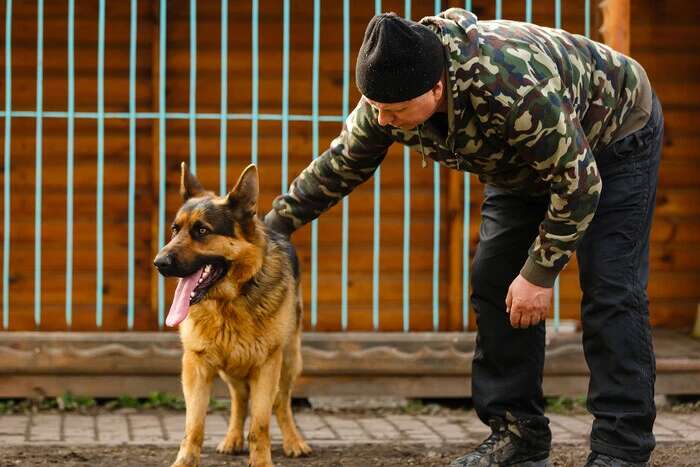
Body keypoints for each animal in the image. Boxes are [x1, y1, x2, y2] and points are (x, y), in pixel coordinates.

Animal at [154, 163, 310, 466]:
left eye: (202, 230)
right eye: (174, 229)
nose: (159, 263)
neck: (227, 304)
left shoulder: (266, 366)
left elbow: (260, 425)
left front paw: (261, 462)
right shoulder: (196, 367)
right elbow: (194, 425)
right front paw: (185, 461)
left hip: (288, 361)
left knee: (281, 403)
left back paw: (293, 441)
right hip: (232, 369)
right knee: (239, 400)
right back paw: (233, 439)